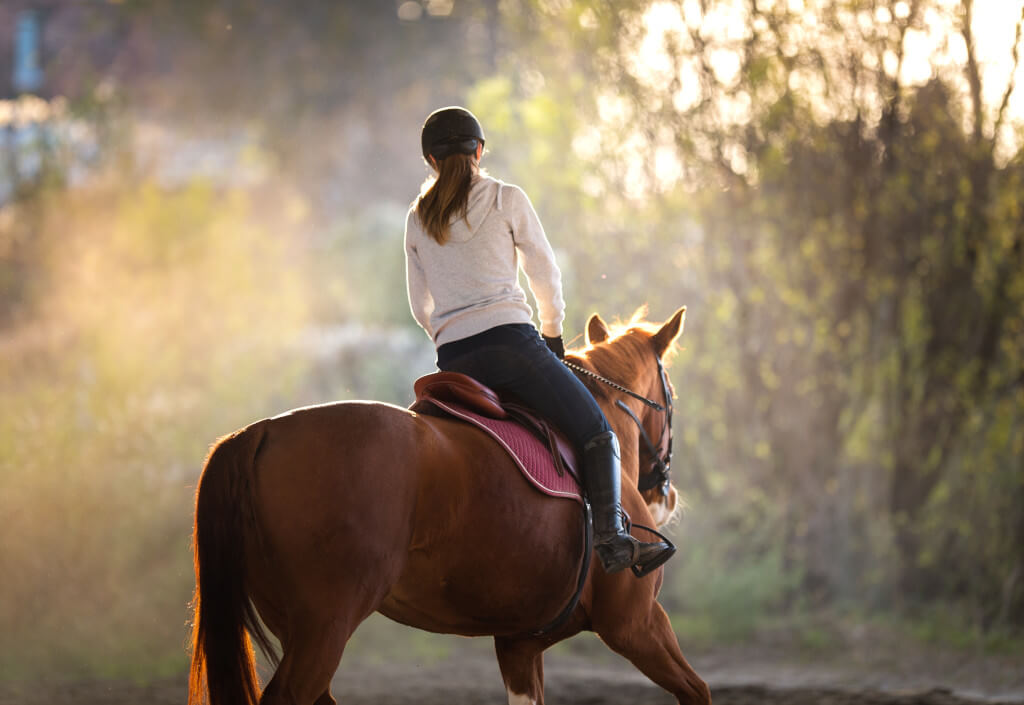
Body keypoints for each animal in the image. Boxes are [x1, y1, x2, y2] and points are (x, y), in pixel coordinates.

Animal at [186, 307, 712, 705]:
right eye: (670, 395)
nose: (664, 495)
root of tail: (260, 432)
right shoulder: (637, 624)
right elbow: (697, 691)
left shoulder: (519, 646)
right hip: (323, 628)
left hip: (297, 628)